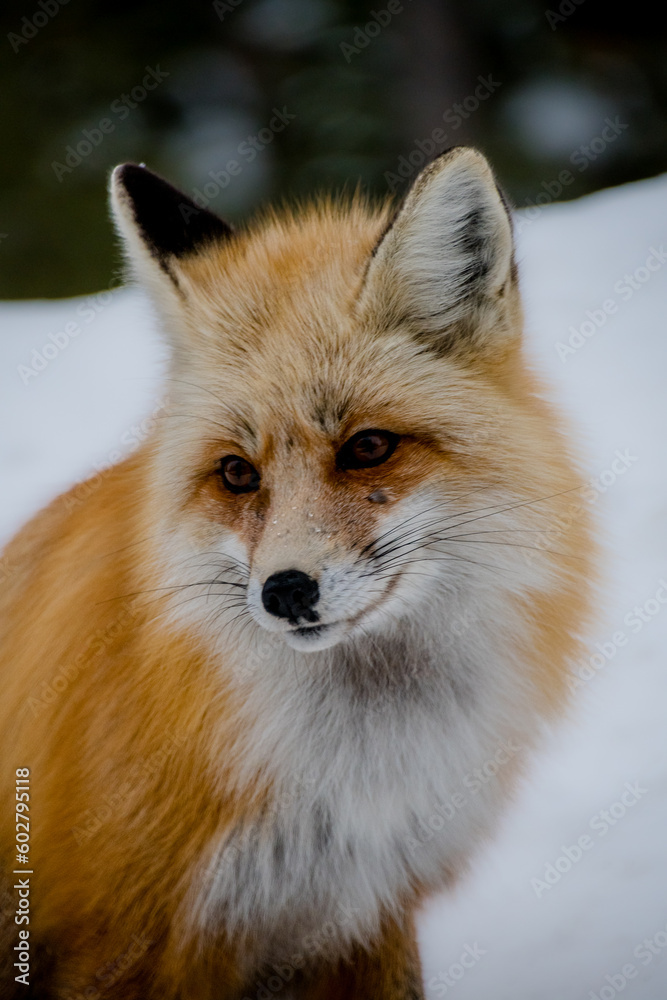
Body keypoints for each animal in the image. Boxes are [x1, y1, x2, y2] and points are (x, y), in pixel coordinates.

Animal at [0, 147, 595, 999]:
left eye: (368, 447)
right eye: (236, 474)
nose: (284, 593)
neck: (347, 784)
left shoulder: (367, 915)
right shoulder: (119, 937)